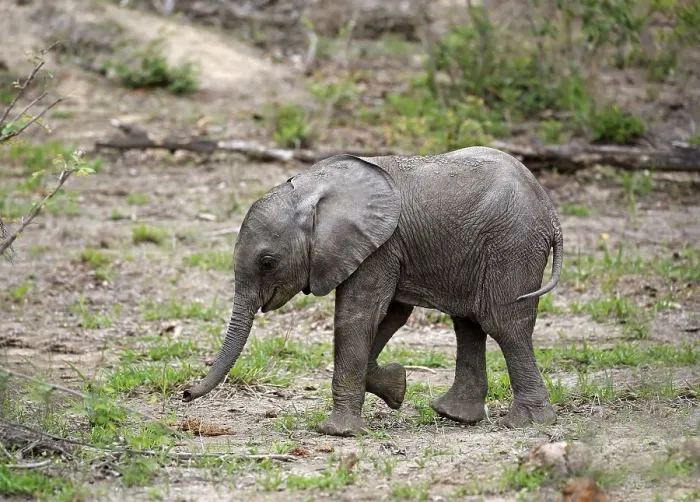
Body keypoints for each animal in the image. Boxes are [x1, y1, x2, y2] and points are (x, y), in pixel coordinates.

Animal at [182, 146, 564, 437]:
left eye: (267, 262)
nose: (185, 393)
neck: (313, 189)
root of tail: (551, 211)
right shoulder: (381, 248)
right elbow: (390, 314)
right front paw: (397, 387)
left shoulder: (380, 246)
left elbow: (358, 316)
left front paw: (338, 433)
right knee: (468, 324)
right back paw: (453, 415)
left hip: (512, 247)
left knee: (503, 324)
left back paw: (527, 423)